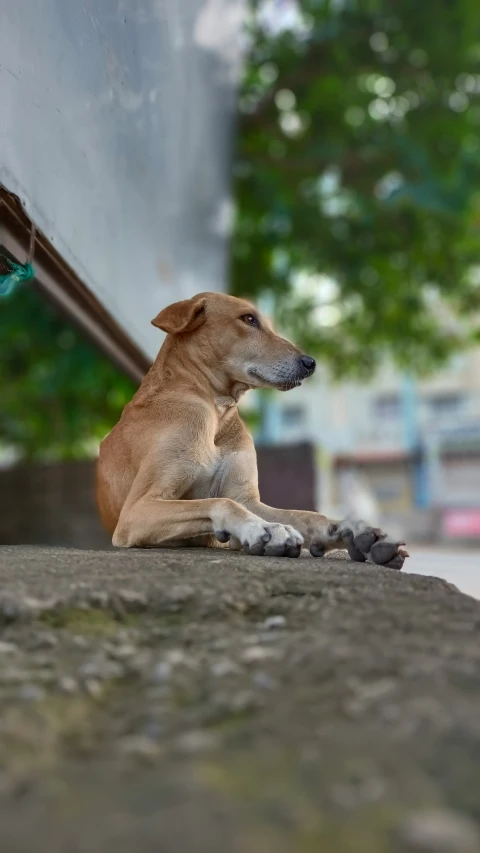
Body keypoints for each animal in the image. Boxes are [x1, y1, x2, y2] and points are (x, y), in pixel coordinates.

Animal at [97, 292, 408, 564]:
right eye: (248, 319)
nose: (310, 363)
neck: (216, 412)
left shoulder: (248, 498)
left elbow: (306, 515)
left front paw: (348, 529)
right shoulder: (137, 510)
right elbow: (220, 502)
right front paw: (265, 530)